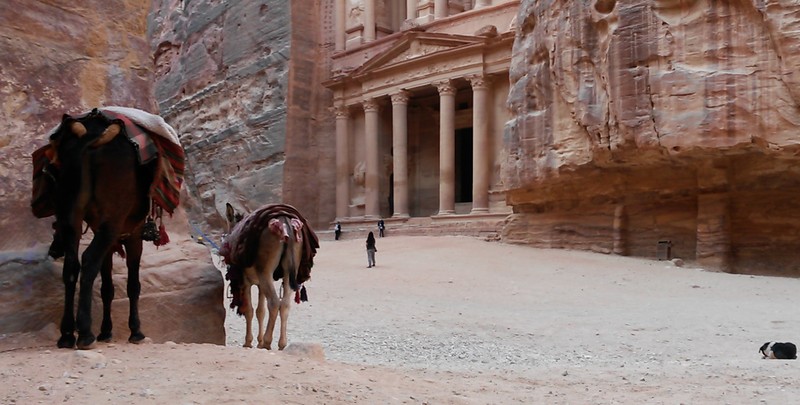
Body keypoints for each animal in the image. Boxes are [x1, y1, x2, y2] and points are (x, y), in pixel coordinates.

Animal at [222, 204, 318, 348]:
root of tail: (285, 221)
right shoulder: (260, 284)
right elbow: (260, 311)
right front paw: (259, 341)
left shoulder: (246, 282)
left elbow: (249, 310)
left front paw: (249, 342)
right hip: (288, 272)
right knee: (285, 304)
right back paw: (281, 343)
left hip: (265, 272)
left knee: (274, 302)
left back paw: (267, 342)